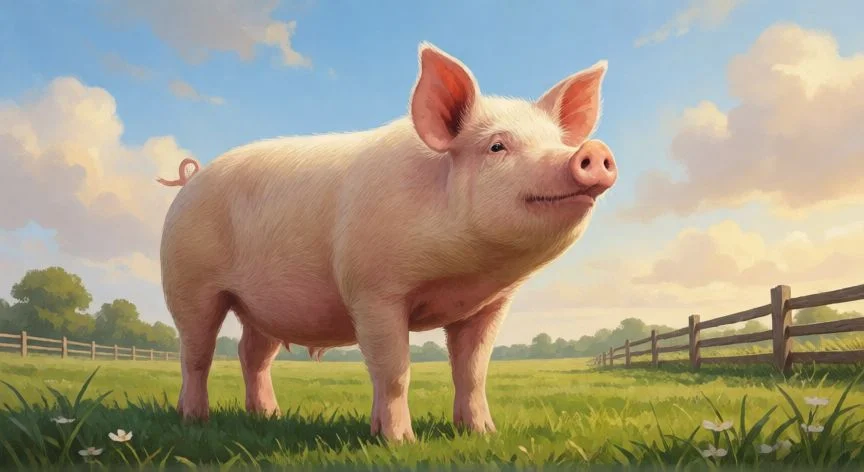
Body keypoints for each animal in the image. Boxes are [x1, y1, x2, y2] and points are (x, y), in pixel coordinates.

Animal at [157, 42, 617, 442]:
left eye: (559, 143)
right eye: (497, 146)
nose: (592, 150)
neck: (464, 274)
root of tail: (190, 180)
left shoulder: (487, 305)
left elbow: (472, 373)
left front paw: (484, 434)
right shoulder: (373, 291)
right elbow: (394, 371)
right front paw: (400, 442)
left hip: (263, 308)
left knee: (251, 355)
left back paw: (269, 416)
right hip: (188, 282)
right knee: (195, 354)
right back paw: (195, 420)